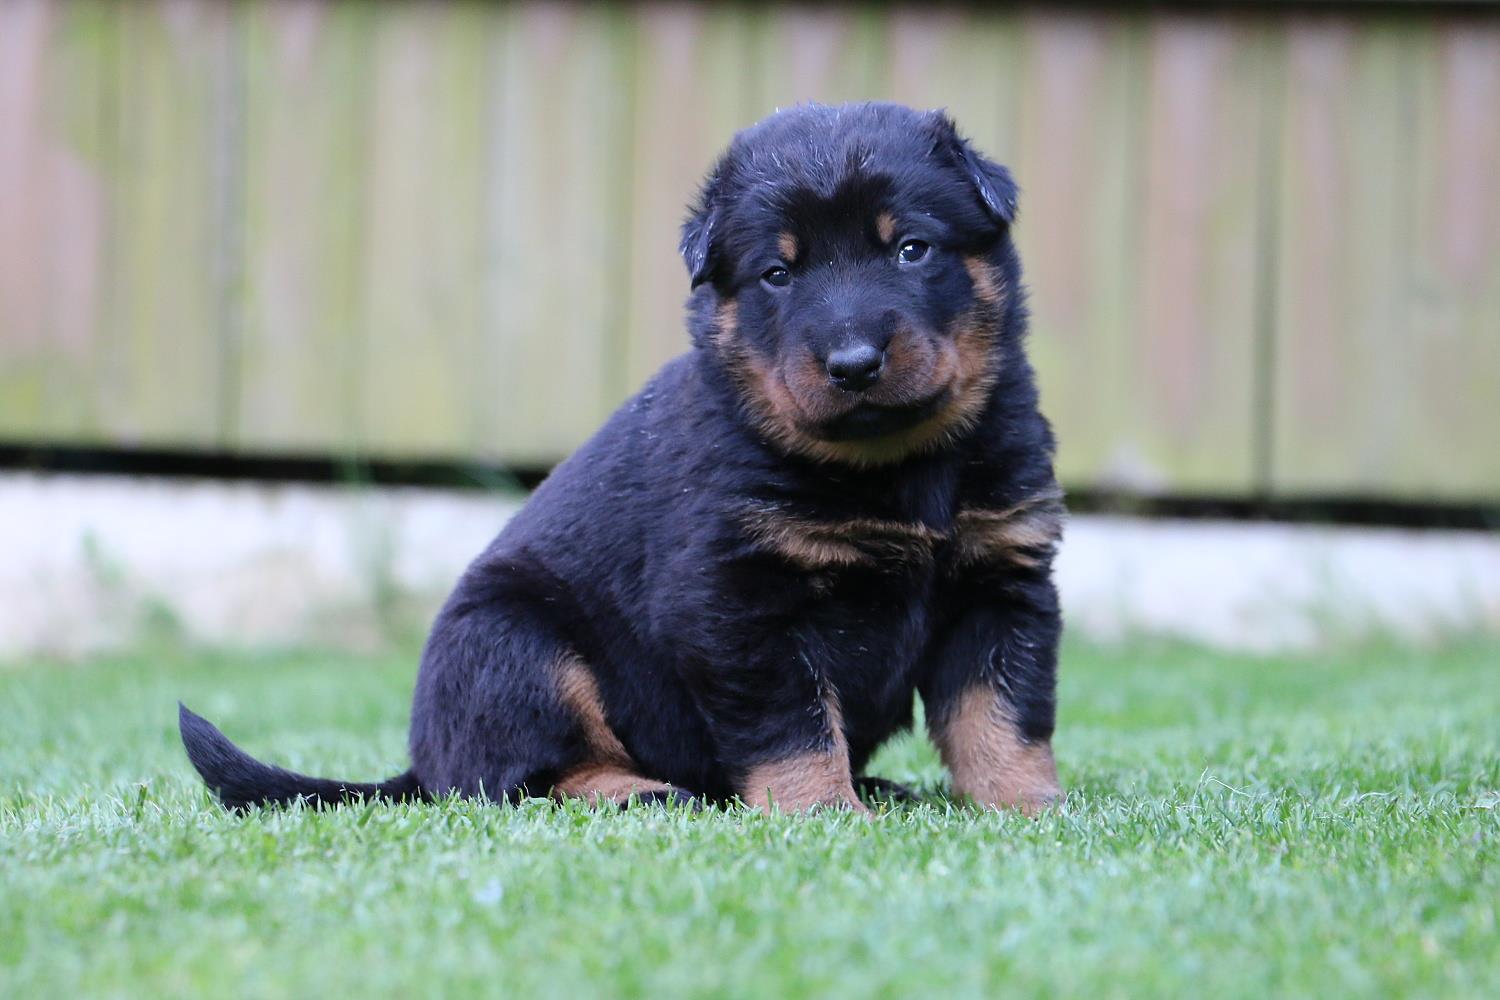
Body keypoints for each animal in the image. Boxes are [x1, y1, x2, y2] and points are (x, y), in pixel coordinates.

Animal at [178, 103, 1068, 815]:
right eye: (778, 273)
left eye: (913, 249)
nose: (852, 362)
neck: (893, 465)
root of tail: (423, 763)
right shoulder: (736, 603)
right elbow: (793, 727)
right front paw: (821, 813)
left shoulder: (1003, 581)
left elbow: (1000, 715)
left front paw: (1024, 809)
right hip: (516, 642)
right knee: (521, 778)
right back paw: (647, 791)